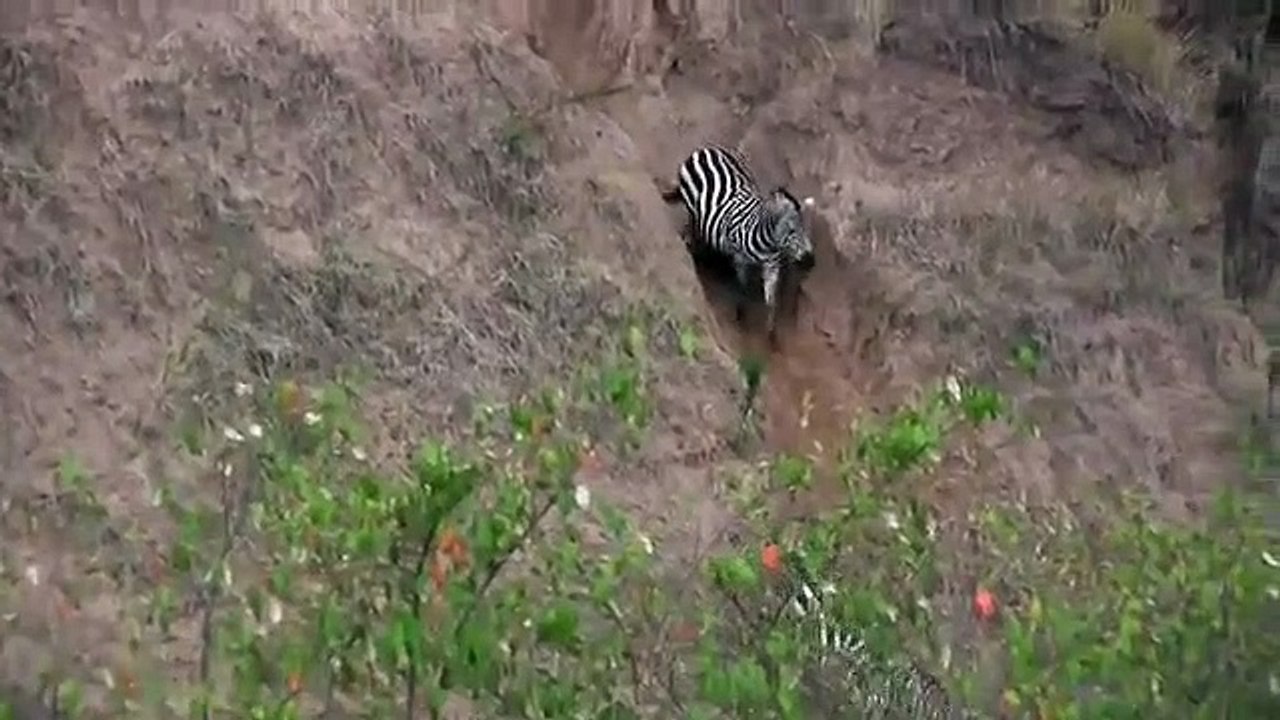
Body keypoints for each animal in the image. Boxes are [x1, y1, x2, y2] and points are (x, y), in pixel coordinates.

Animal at [661, 145, 816, 344]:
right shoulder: (740, 261)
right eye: (792, 230)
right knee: (691, 227)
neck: (767, 244)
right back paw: (695, 250)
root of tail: (708, 149)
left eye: (806, 229)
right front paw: (741, 318)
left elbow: (771, 303)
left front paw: (771, 335)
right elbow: (743, 291)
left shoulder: (772, 268)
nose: (811, 261)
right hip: (693, 208)